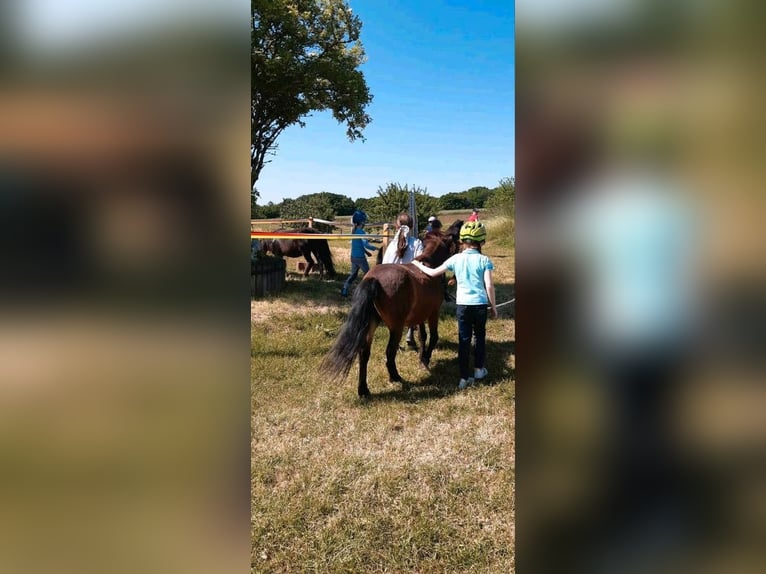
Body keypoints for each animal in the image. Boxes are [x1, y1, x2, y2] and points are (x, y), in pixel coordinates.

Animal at [321, 221, 462, 397]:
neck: (428, 268)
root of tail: (373, 280)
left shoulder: (420, 315)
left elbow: (422, 336)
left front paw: (421, 358)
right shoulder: (433, 313)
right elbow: (434, 337)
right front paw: (425, 358)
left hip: (371, 324)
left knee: (364, 353)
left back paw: (363, 389)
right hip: (396, 327)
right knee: (389, 352)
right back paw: (395, 377)